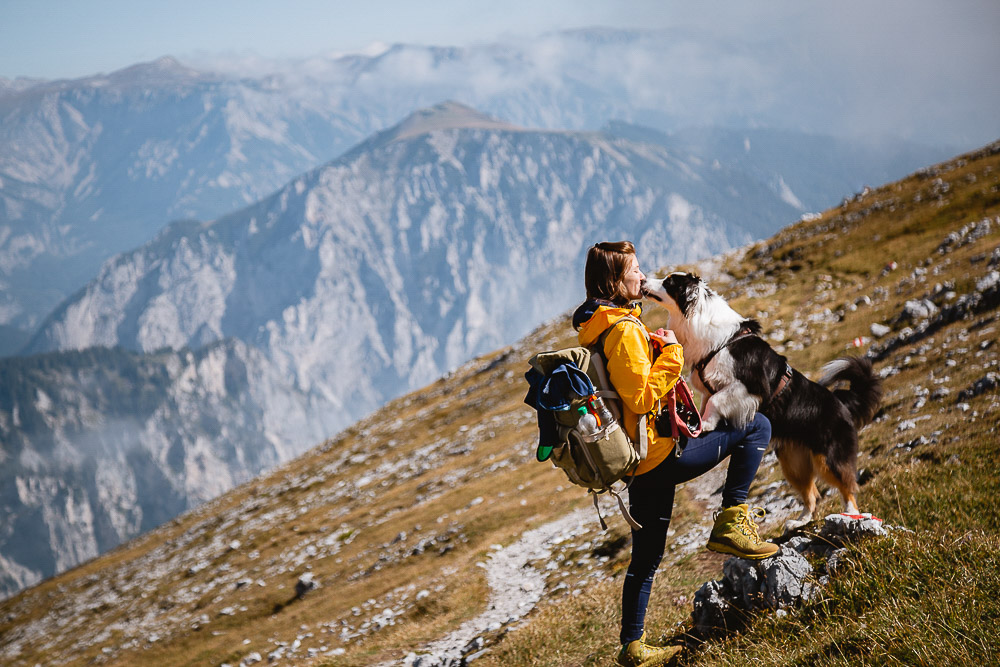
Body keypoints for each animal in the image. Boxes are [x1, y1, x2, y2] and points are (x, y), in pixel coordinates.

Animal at [640, 274, 884, 524]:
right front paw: (699, 422)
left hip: (829, 457)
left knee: (846, 485)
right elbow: (708, 403)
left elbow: (717, 400)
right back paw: (800, 520)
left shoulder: (752, 387)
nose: (642, 281)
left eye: (669, 282)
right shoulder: (709, 387)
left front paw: (704, 424)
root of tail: (842, 404)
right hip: (793, 462)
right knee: (811, 493)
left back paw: (851, 514)